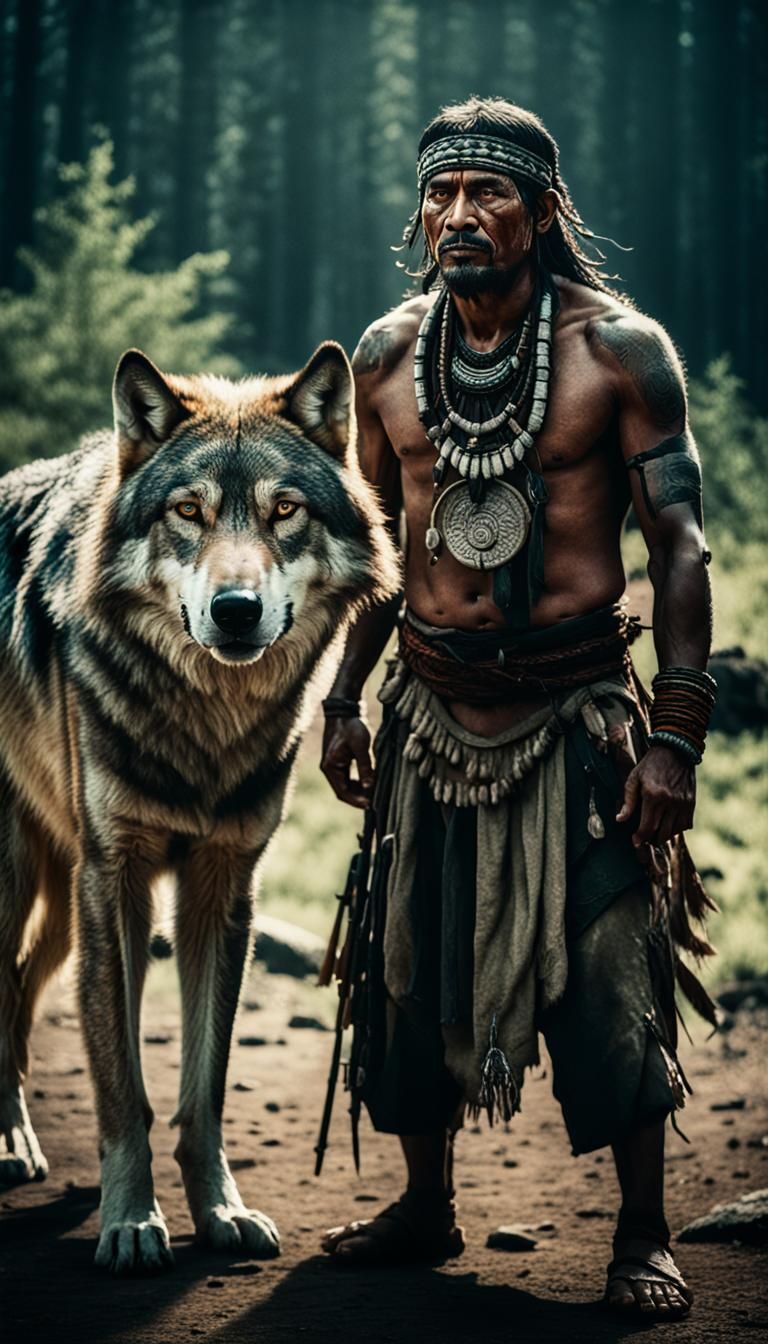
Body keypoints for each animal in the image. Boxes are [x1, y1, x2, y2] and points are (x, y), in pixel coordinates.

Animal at [0, 342, 400, 1273]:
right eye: (189, 511)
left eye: (285, 510)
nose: (236, 610)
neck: (204, 724)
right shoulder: (115, 882)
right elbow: (123, 1087)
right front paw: (129, 1221)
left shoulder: (223, 883)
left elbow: (204, 1085)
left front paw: (219, 1210)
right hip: (26, 886)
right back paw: (10, 1144)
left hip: (62, 906)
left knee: (19, 987)